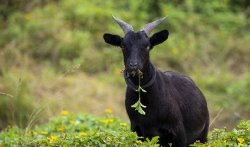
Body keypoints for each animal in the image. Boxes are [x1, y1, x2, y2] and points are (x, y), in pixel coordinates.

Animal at [102, 16, 210, 146]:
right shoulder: (138, 131)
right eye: (123, 45)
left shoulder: (179, 134)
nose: (133, 66)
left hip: (203, 135)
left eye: (147, 46)